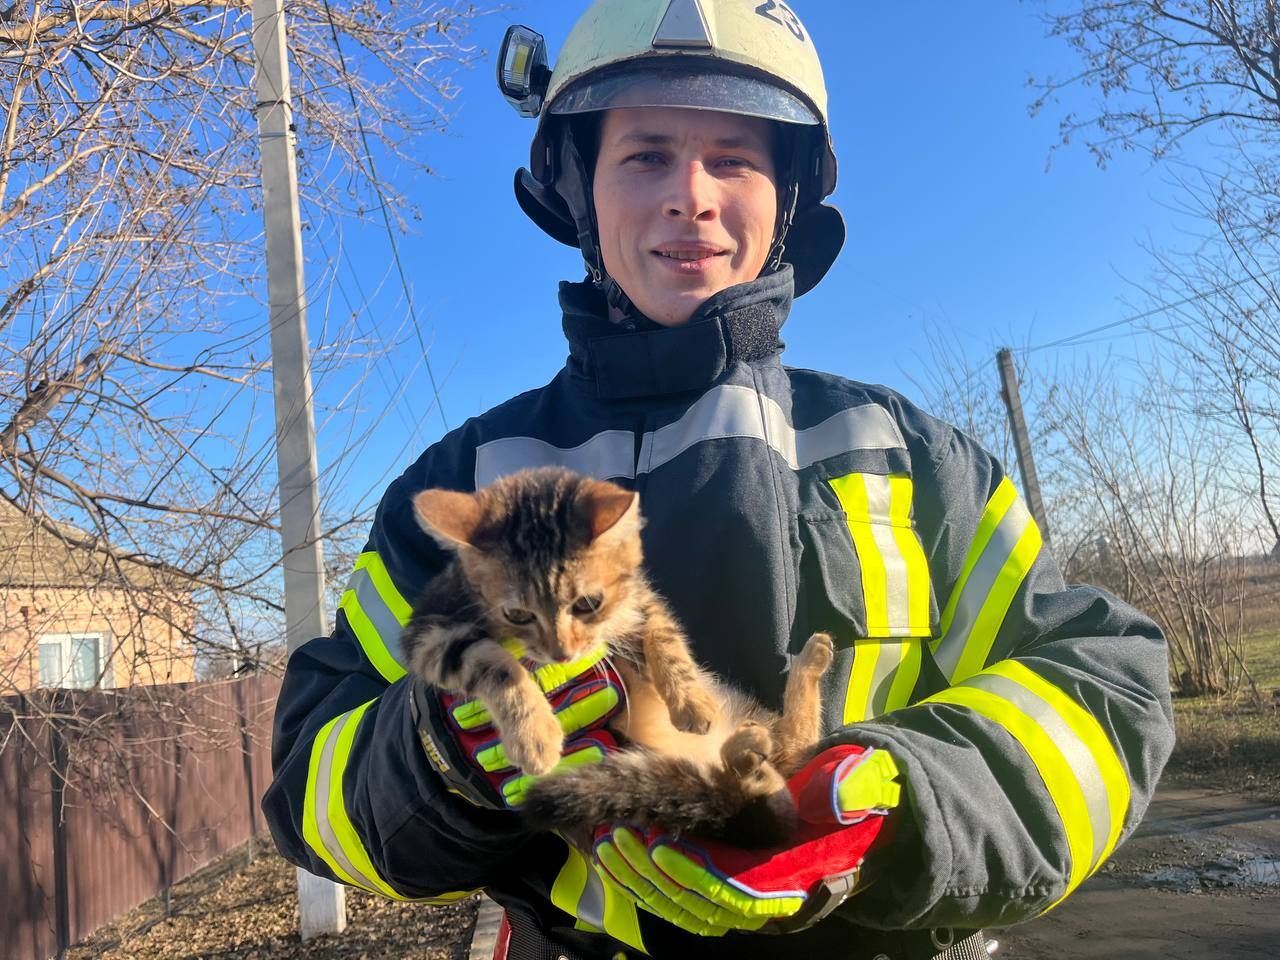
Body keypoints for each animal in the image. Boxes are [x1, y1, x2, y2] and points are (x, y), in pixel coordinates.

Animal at [404, 465, 834, 849]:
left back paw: (805, 668)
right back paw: (748, 755)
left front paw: (690, 698)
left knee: (789, 760)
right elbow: (495, 666)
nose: (562, 652)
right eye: (517, 613)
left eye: (587, 603)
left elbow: (663, 636)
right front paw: (534, 734)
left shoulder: (638, 598)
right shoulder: (428, 634)